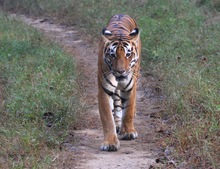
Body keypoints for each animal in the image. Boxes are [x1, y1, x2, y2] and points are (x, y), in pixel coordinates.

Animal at [97, 13, 141, 151]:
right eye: (113, 55)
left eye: (128, 54)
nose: (121, 71)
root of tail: (121, 14)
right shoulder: (104, 90)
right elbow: (107, 118)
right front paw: (110, 142)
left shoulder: (130, 88)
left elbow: (128, 111)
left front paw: (128, 132)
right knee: (116, 104)